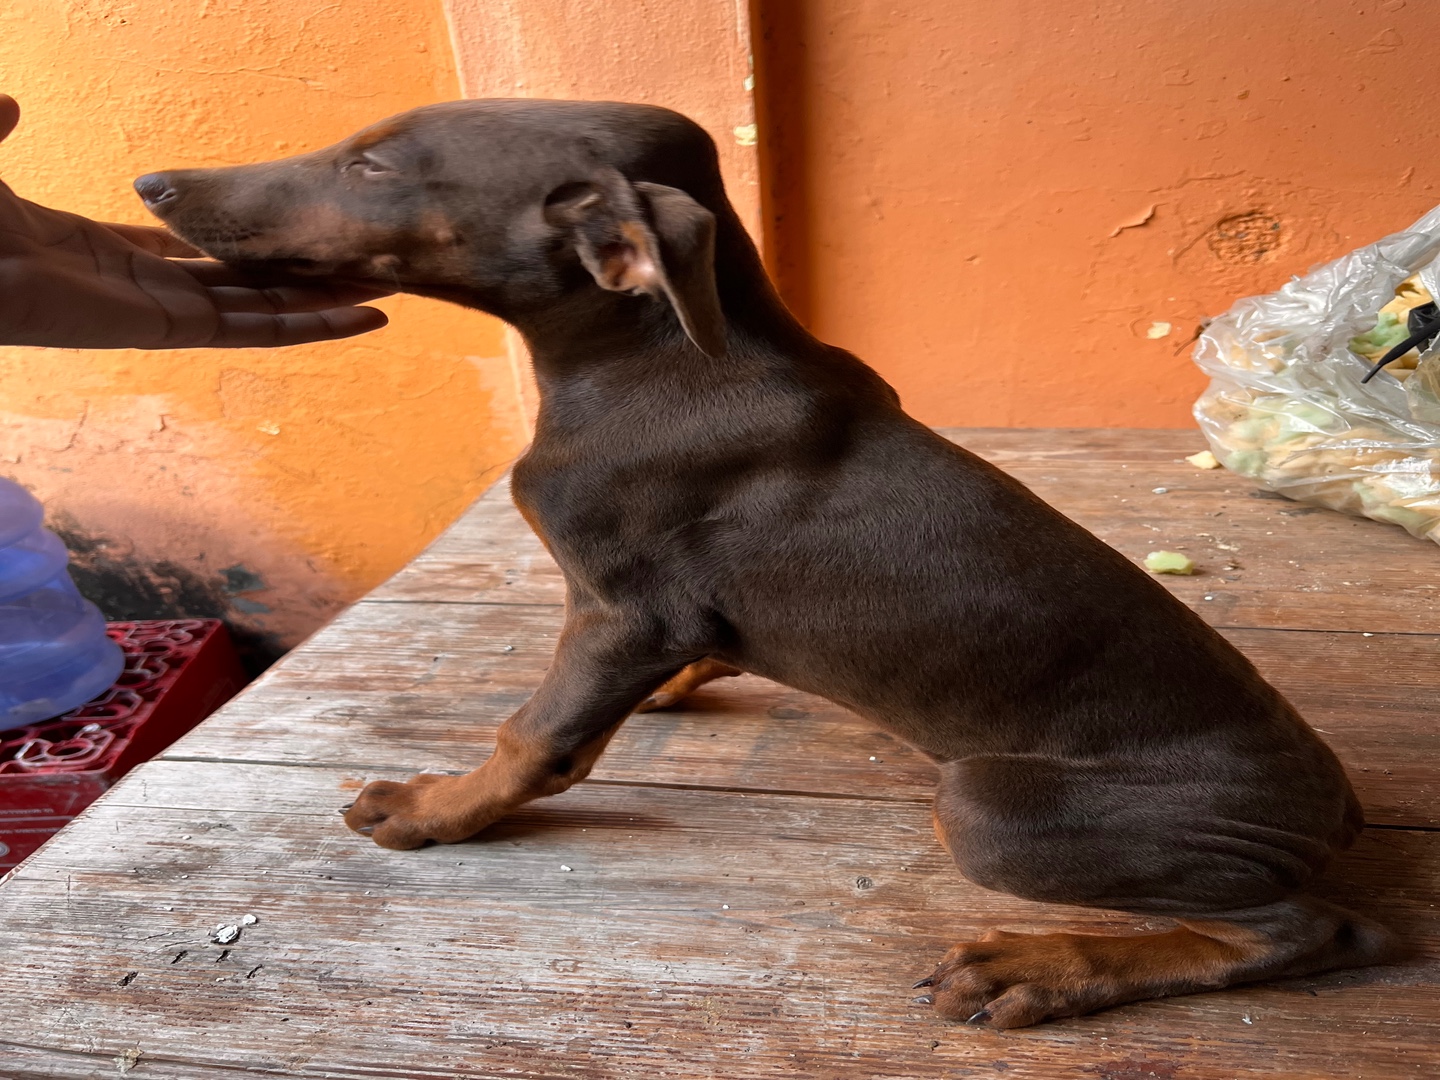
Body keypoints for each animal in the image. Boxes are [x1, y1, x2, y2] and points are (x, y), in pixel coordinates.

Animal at [135, 101, 1393, 1031]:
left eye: (372, 163)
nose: (153, 186)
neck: (654, 357)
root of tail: (1333, 806)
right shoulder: (646, 623)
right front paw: (689, 689)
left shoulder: (619, 613)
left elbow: (533, 738)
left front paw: (437, 810)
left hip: (992, 802)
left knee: (1320, 930)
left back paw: (1043, 967)